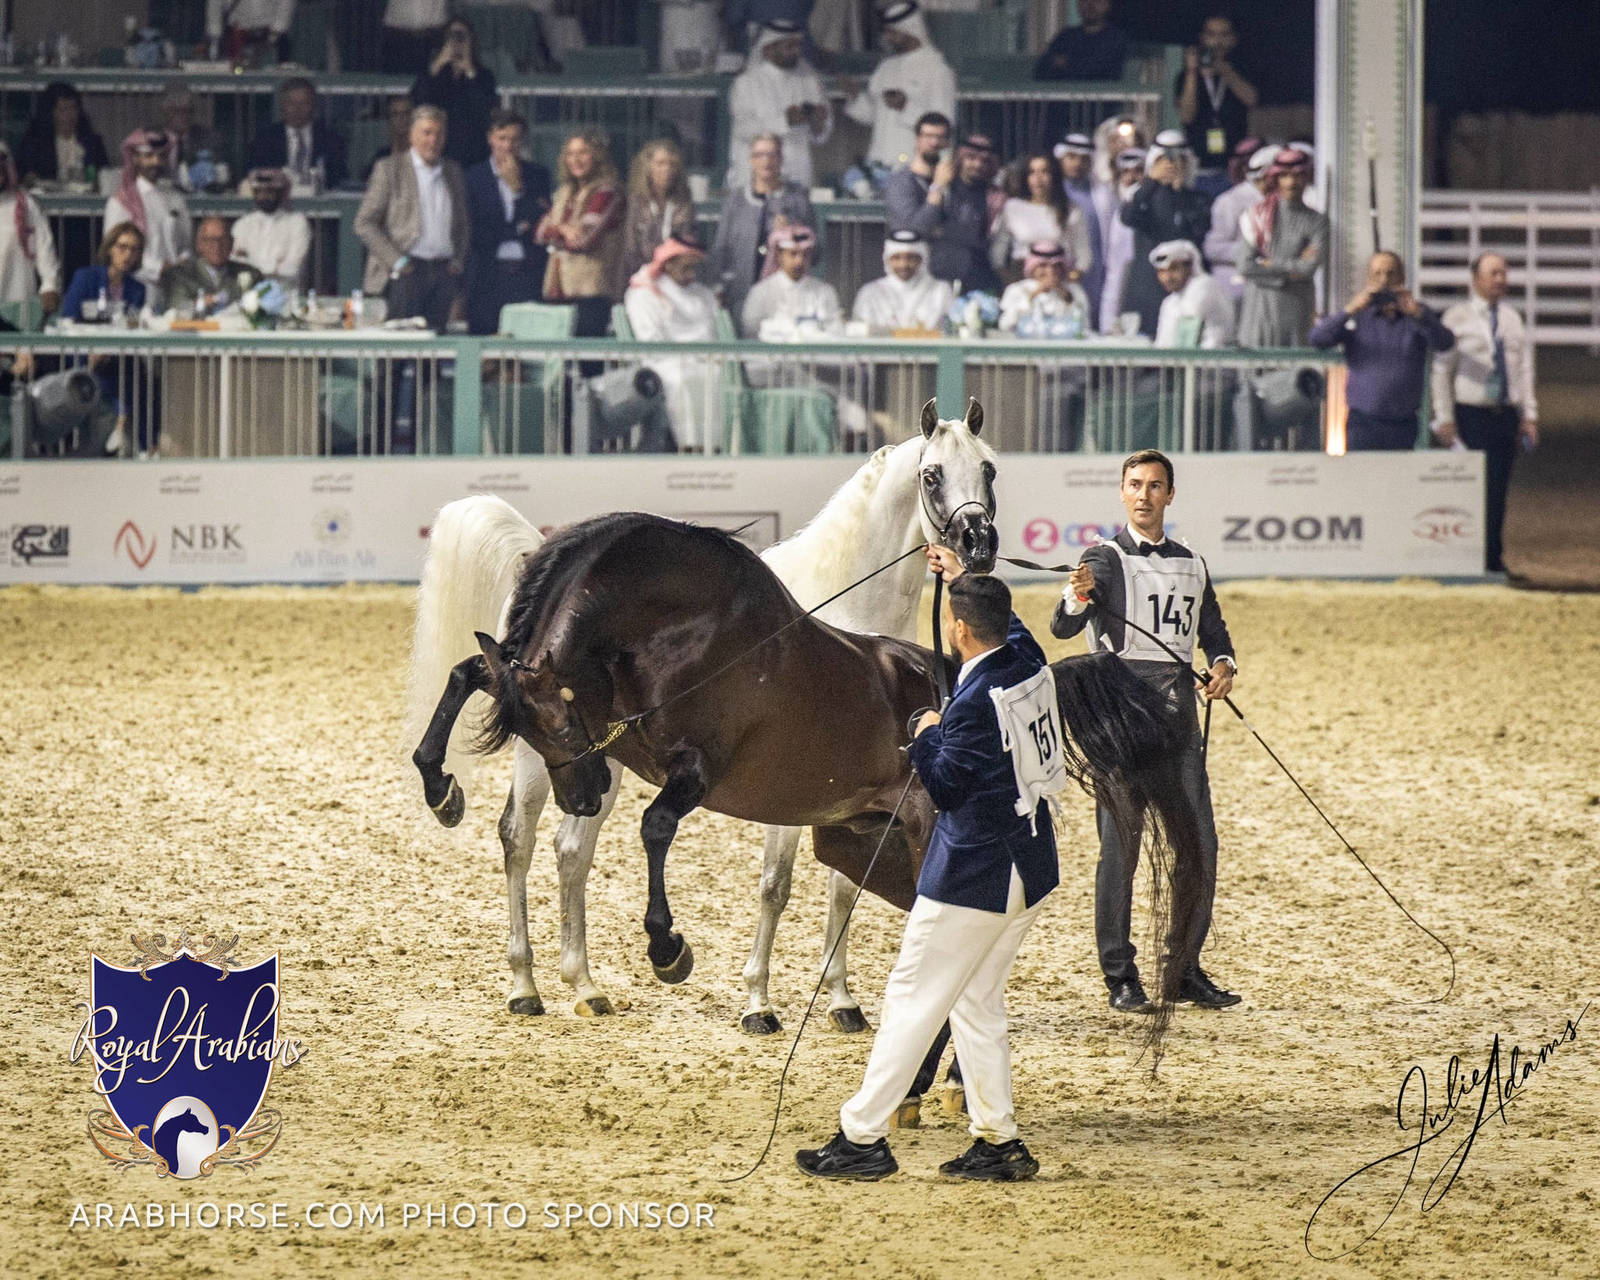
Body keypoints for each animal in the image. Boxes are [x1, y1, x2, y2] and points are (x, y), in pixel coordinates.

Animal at [405, 398, 1000, 1031]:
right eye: (932, 474)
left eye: (989, 468)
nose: (978, 544)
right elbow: (776, 886)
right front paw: (758, 1000)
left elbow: (842, 888)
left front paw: (840, 999)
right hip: (548, 761)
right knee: (521, 839)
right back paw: (524, 981)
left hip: (594, 767)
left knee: (569, 849)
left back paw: (582, 983)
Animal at [412, 508, 1213, 1064]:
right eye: (532, 732)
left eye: (562, 719)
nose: (580, 792)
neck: (679, 627)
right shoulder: (624, 736)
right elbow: (468, 671)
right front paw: (439, 783)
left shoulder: (695, 768)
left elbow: (656, 827)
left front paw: (669, 949)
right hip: (868, 844)